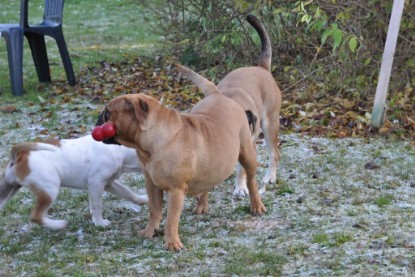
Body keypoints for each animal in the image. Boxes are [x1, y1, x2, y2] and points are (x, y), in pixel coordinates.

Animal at [0, 134, 149, 229]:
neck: (119, 150)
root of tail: (20, 155)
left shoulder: (109, 183)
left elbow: (127, 192)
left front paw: (142, 200)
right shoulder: (96, 183)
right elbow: (97, 205)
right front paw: (99, 223)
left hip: (8, 190)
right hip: (50, 189)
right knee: (36, 216)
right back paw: (58, 225)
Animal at [98, 72, 264, 249]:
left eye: (108, 113)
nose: (99, 117)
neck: (150, 145)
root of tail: (219, 95)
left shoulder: (175, 189)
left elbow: (171, 218)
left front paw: (171, 243)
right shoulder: (152, 185)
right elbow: (154, 210)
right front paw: (150, 232)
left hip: (247, 152)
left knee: (251, 181)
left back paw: (256, 206)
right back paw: (202, 206)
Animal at [180, 15, 282, 195]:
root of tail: (262, 69)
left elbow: (242, 169)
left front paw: (240, 187)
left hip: (270, 124)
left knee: (274, 154)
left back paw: (270, 177)